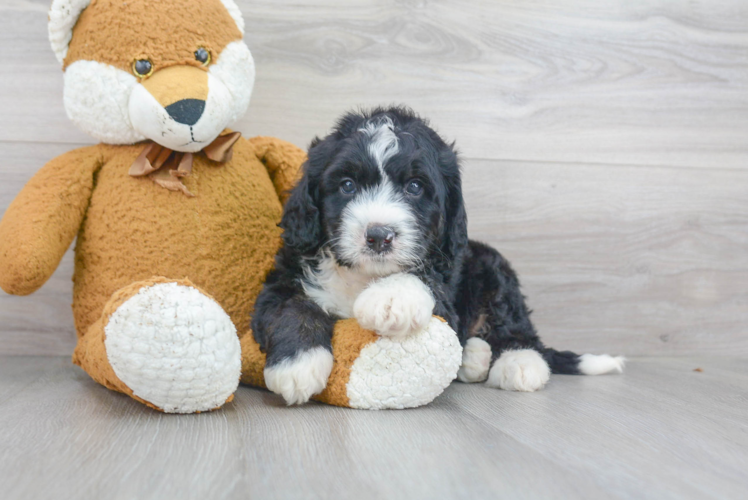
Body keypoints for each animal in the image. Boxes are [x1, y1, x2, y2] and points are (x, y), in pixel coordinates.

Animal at [251, 107, 624, 404]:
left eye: (415, 187)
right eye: (347, 185)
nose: (379, 236)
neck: (364, 275)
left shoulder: (446, 289)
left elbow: (425, 277)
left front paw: (390, 298)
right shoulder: (283, 277)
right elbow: (292, 305)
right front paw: (298, 364)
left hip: (492, 267)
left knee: (516, 327)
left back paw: (519, 363)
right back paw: (474, 357)